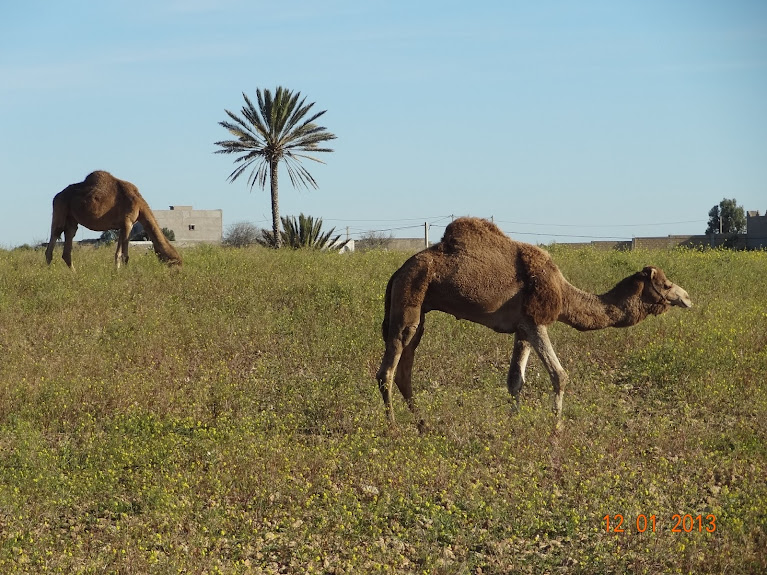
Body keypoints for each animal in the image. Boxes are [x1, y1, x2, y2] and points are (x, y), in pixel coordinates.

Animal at [45, 171, 182, 270]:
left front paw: (117, 271)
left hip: (72, 220)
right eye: (175, 262)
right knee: (53, 238)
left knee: (67, 246)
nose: (179, 272)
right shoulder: (128, 222)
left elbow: (118, 254)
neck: (139, 205)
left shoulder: (122, 225)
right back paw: (50, 274)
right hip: (60, 210)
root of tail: (56, 196)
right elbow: (125, 255)